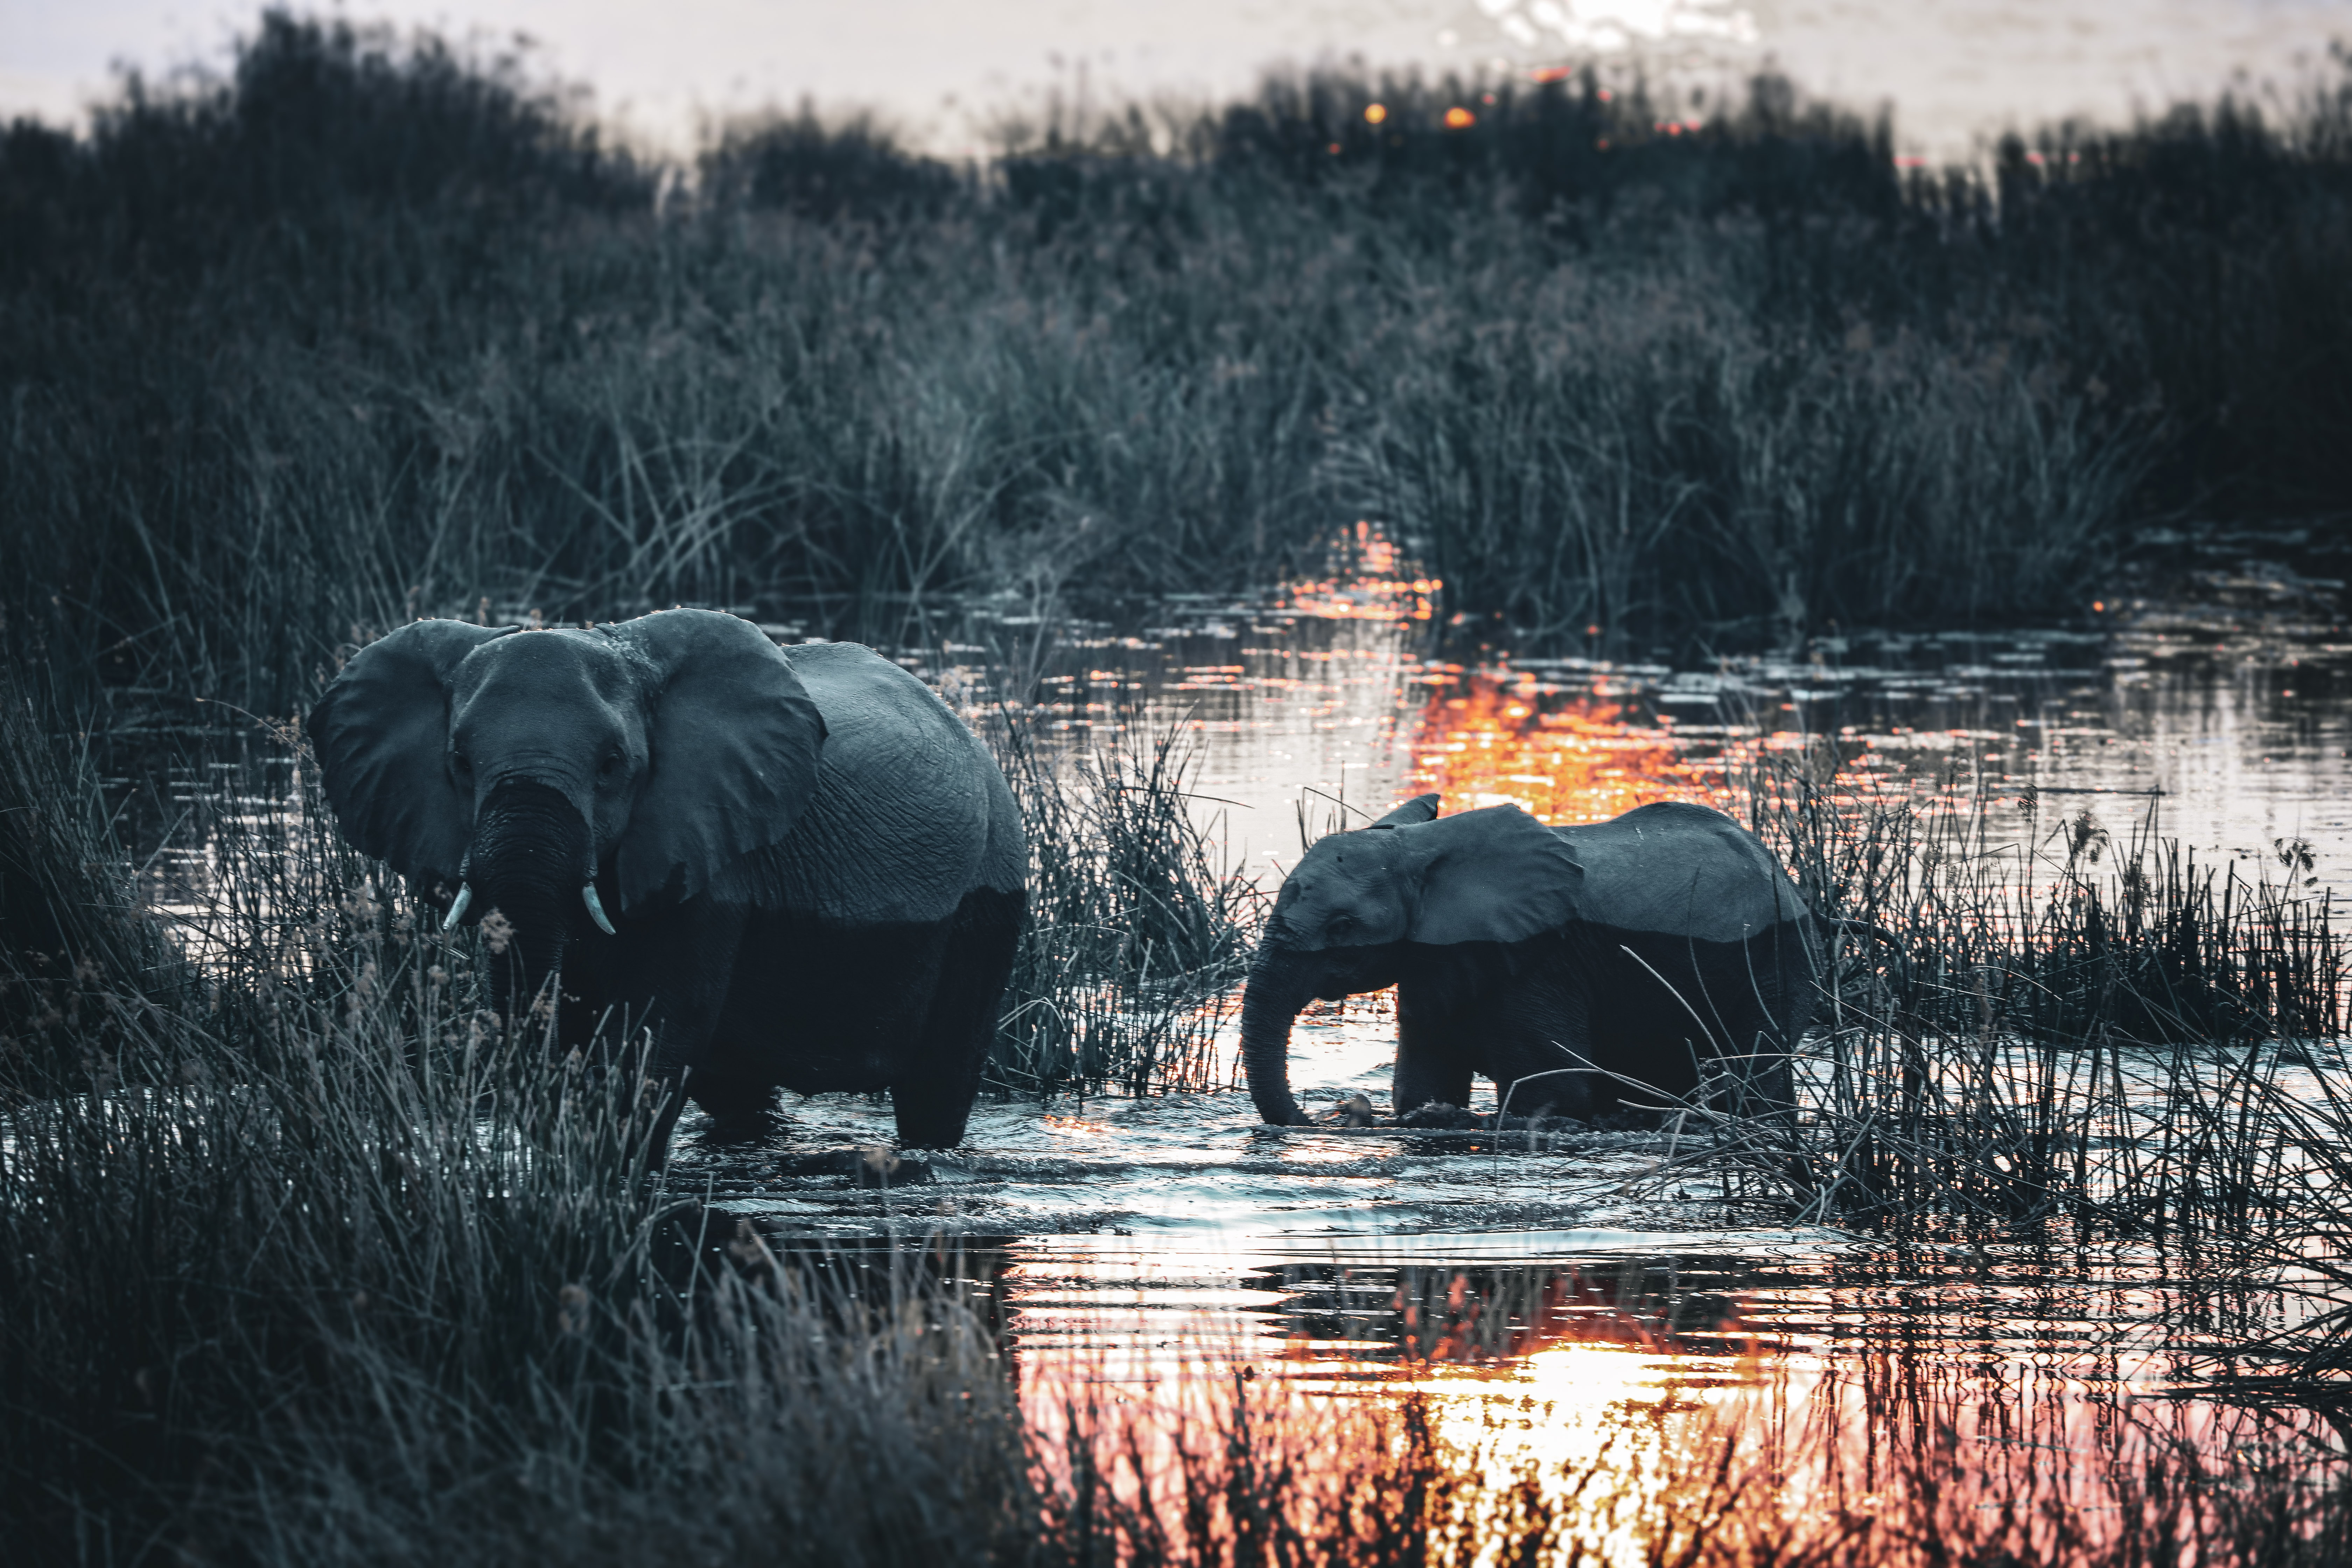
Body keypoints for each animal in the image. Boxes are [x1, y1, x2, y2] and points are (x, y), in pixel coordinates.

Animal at [308, 608, 1026, 1150]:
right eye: (458, 762)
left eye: (612, 764)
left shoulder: (712, 863)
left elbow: (650, 1039)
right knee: (734, 1089)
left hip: (988, 899)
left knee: (938, 1085)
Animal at [1240, 795, 1817, 1128]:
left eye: (1341, 928)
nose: (1335, 1115)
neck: (1419, 851)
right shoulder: (1433, 960)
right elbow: (1422, 1087)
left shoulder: (1543, 960)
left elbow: (1552, 1095)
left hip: (1775, 962)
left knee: (1753, 1076)